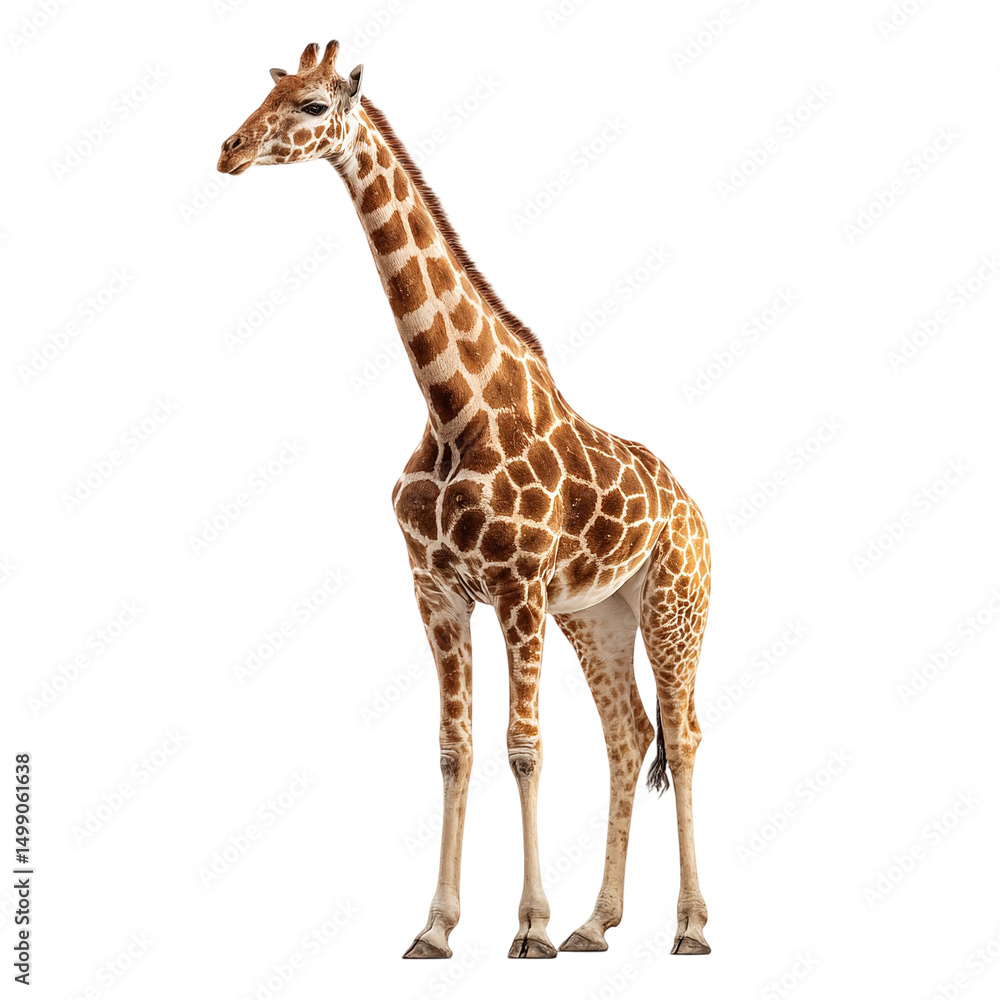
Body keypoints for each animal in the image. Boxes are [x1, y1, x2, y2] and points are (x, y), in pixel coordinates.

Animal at [218, 40, 712, 961]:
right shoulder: (437, 590)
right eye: (270, 90)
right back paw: (598, 923)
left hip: (675, 602)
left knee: (685, 730)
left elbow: (523, 745)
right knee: (628, 734)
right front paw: (437, 928)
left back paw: (690, 927)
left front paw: (530, 928)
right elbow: (454, 747)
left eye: (311, 105)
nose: (229, 149)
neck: (454, 407)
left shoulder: (516, 588)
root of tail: (694, 509)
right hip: (597, 614)